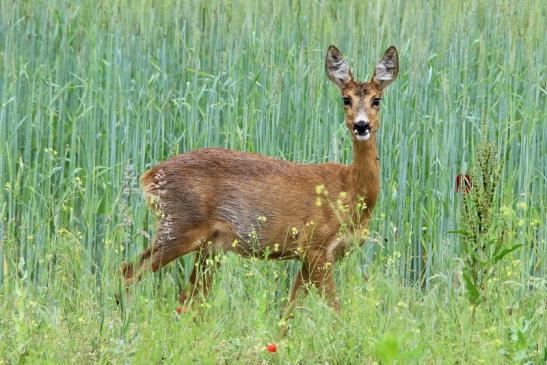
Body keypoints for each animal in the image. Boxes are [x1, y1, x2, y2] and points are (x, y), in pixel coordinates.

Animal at [123, 45, 398, 312]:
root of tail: (148, 178)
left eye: (376, 100)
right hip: (179, 225)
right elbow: (335, 309)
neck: (351, 190)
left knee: (187, 300)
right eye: (346, 99)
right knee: (128, 272)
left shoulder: (309, 255)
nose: (361, 125)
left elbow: (289, 311)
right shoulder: (316, 245)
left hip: (209, 247)